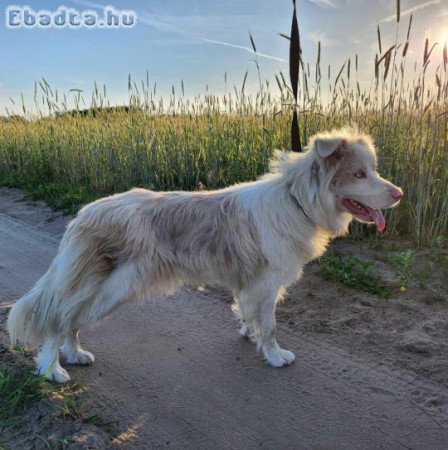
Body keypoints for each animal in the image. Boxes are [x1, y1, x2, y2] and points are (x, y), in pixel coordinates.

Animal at [8, 128, 404, 382]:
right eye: (359, 174)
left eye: (373, 170)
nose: (399, 194)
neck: (297, 201)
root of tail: (84, 215)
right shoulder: (266, 284)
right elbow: (271, 325)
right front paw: (275, 356)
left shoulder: (252, 286)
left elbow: (250, 315)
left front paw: (250, 333)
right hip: (114, 288)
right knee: (59, 319)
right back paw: (54, 369)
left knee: (70, 319)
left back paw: (74, 354)